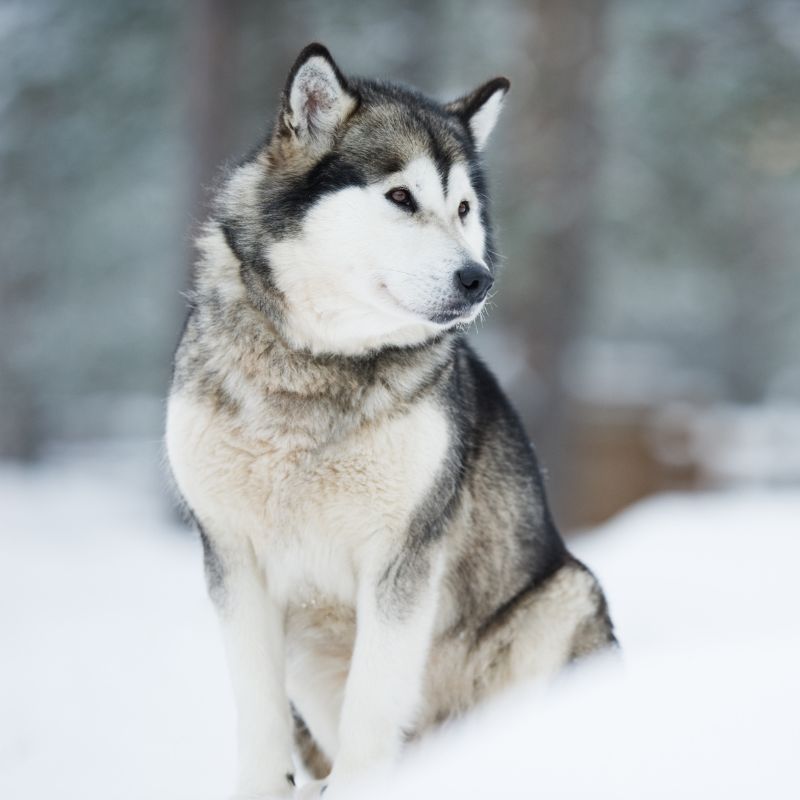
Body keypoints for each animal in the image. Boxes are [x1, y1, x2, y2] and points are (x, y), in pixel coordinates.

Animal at [166, 45, 616, 800]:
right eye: (401, 198)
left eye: (463, 208)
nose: (478, 279)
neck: (317, 368)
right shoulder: (232, 558)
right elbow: (258, 712)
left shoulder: (402, 558)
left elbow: (373, 705)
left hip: (561, 599)